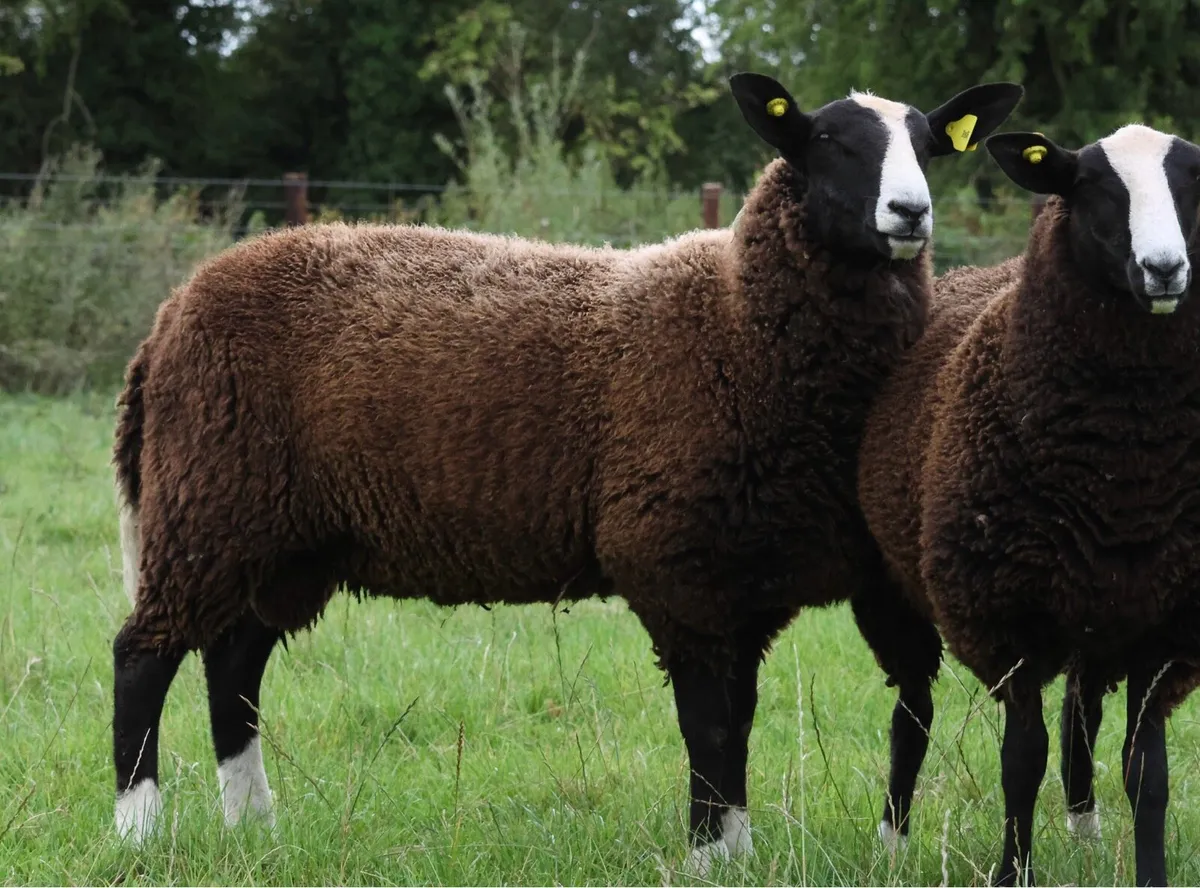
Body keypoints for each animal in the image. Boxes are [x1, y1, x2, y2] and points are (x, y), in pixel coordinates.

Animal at [109, 72, 1023, 869]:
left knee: (234, 663)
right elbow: (711, 727)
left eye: (929, 146)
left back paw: (252, 824)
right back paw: (137, 830)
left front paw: (736, 847)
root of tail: (168, 320)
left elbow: (739, 721)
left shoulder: (742, 576)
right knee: (143, 655)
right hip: (208, 503)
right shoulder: (674, 564)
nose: (911, 213)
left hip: (280, 538)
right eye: (828, 140)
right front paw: (710, 858)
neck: (736, 322)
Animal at [855, 123, 1200, 887]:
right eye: (1092, 187)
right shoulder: (1007, 620)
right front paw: (1012, 873)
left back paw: (1085, 831)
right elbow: (1021, 762)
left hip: (1096, 608)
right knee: (912, 711)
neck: (1125, 475)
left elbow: (1147, 773)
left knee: (1080, 715)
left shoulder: (1162, 627)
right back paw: (891, 840)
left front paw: (1150, 873)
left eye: (1195, 185)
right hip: (891, 589)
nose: (1165, 270)